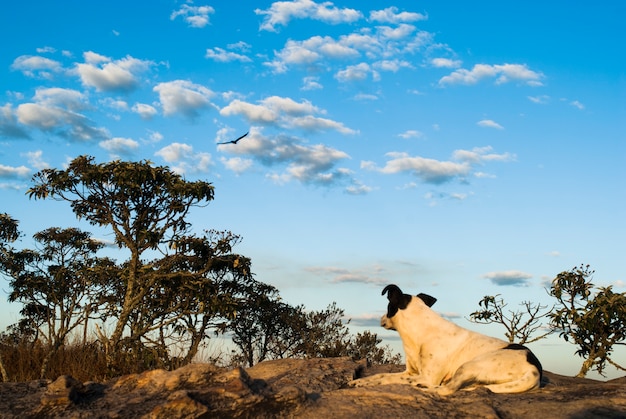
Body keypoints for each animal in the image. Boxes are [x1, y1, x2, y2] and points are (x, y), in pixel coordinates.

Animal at [346, 284, 540, 396]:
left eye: (388, 306)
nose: (380, 319)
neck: (420, 331)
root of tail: (535, 370)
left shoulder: (427, 377)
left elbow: (386, 379)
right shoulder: (409, 373)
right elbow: (381, 375)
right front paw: (359, 381)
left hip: (469, 365)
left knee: (446, 390)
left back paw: (425, 388)